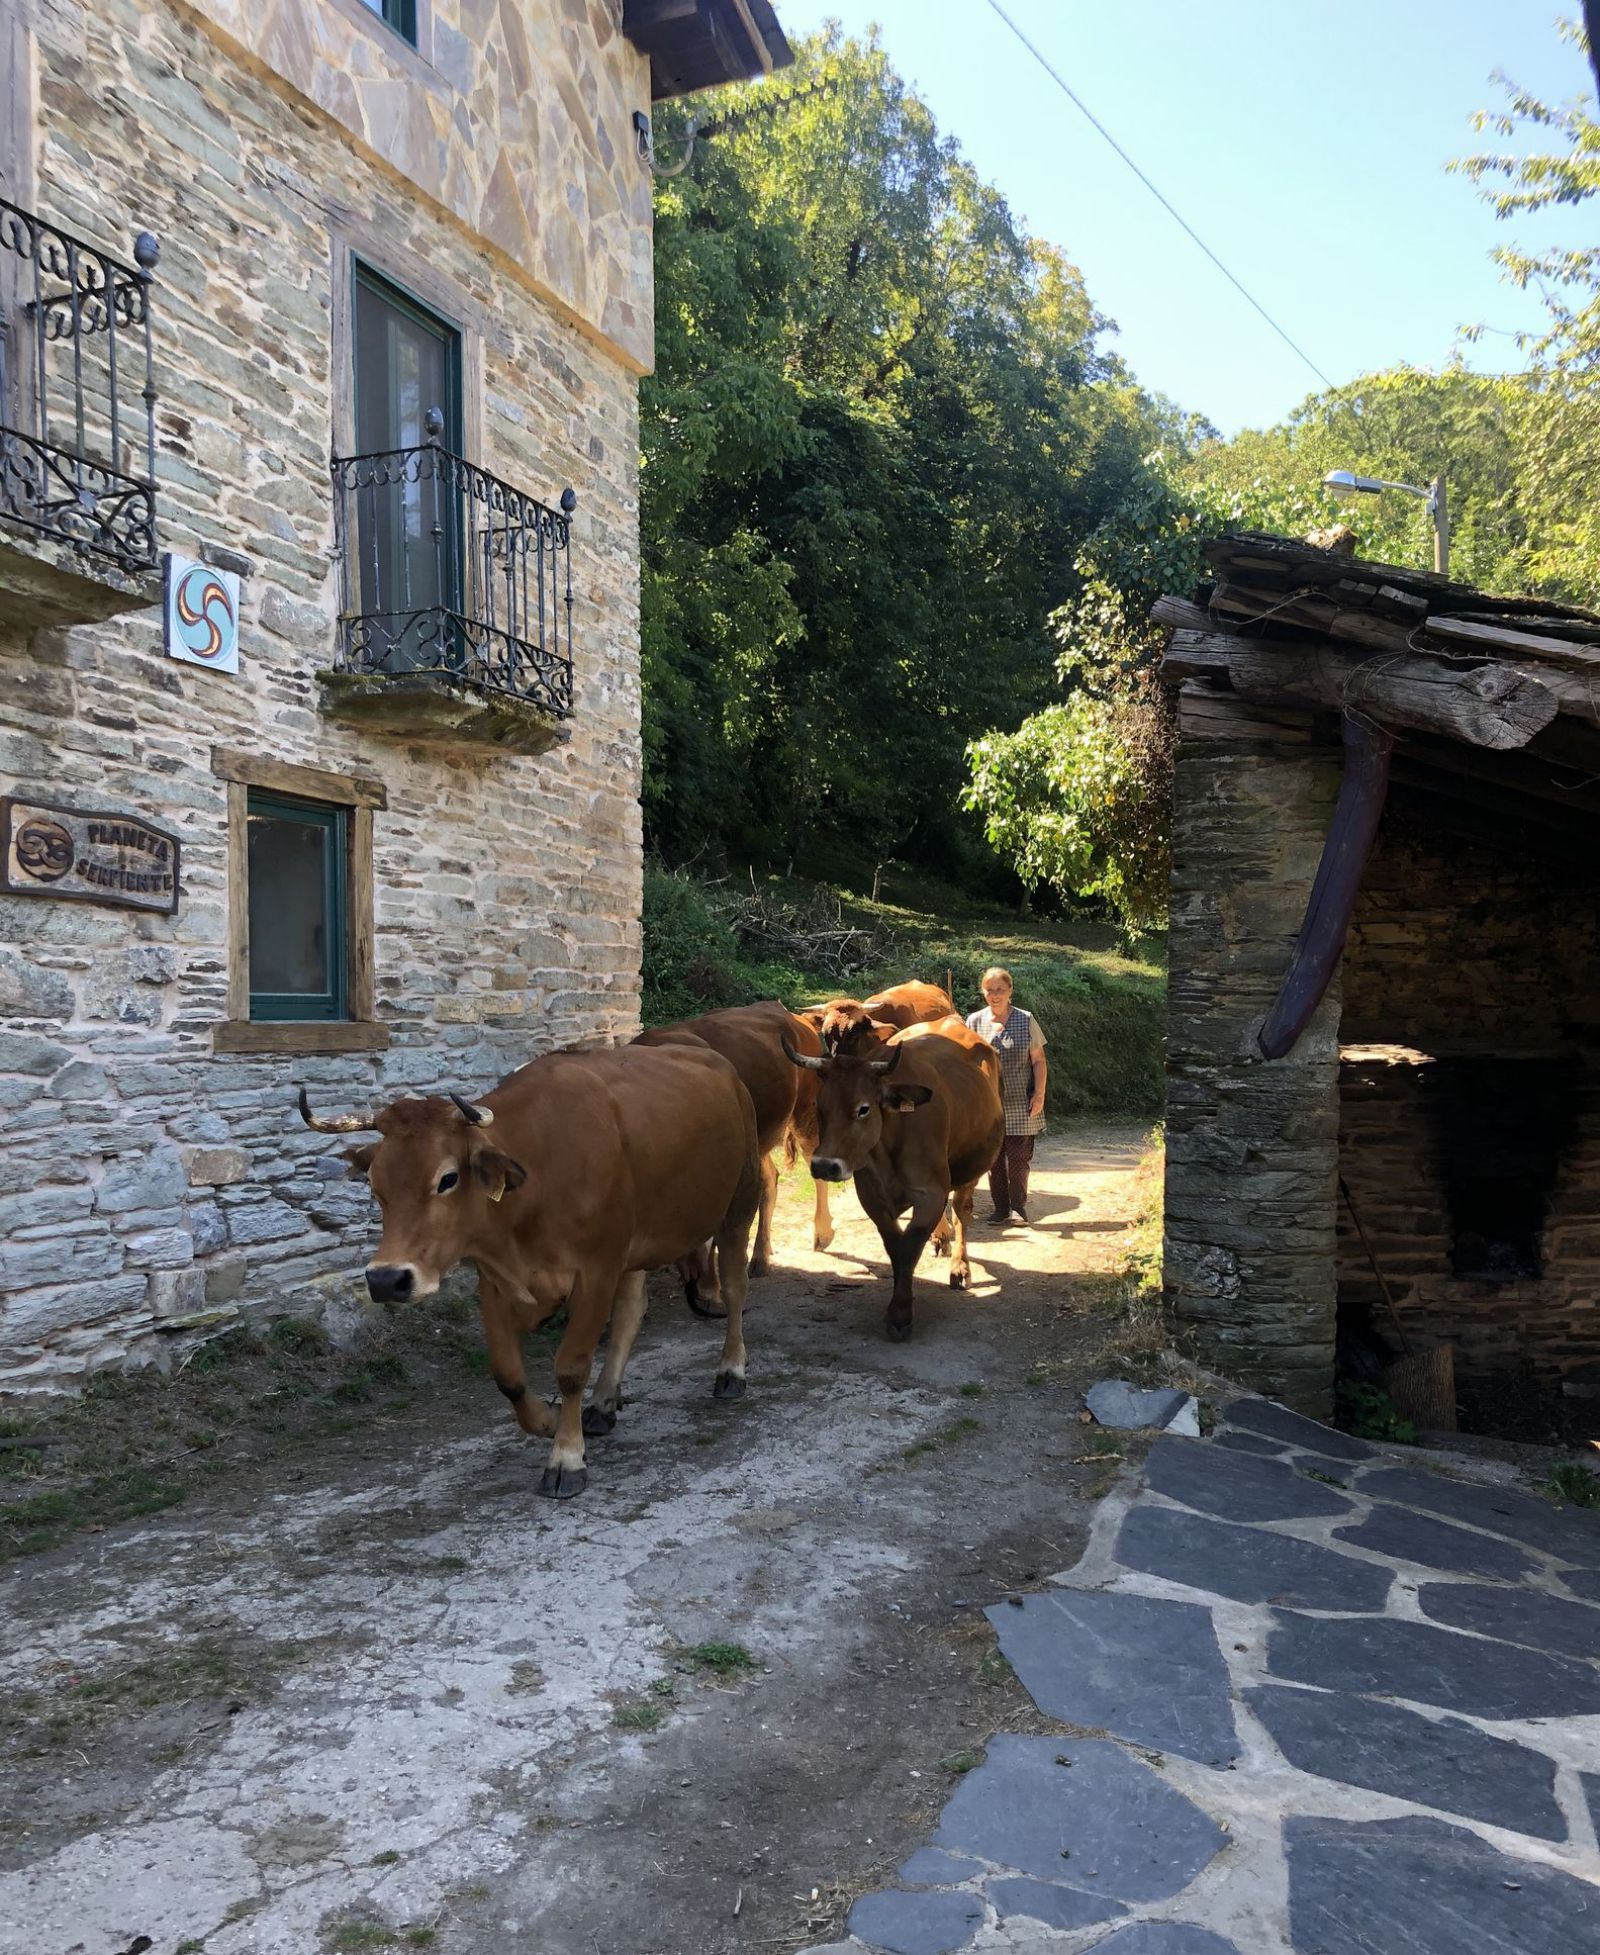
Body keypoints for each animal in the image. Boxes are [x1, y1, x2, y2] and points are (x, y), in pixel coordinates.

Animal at [297, 1047, 758, 1501]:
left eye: (447, 1178)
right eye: (376, 1184)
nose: (386, 1279)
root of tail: (719, 1062)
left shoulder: (596, 1271)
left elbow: (571, 1367)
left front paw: (566, 1459)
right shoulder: (496, 1281)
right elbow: (508, 1375)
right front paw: (550, 1421)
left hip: (738, 1203)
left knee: (735, 1289)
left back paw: (731, 1371)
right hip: (634, 1247)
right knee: (631, 1312)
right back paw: (603, 1404)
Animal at [774, 1032, 989, 1337]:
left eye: (863, 1108)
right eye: (819, 1106)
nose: (824, 1165)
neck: (891, 1137)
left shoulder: (931, 1192)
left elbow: (910, 1245)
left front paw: (900, 1313)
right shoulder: (872, 1196)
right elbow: (895, 1245)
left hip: (970, 1171)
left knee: (961, 1212)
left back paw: (960, 1267)